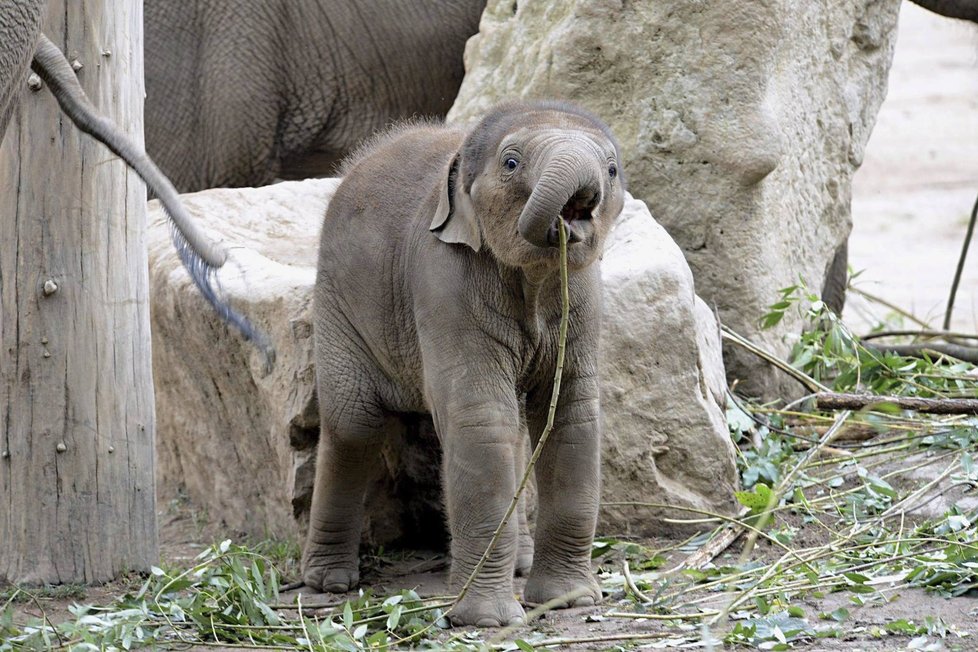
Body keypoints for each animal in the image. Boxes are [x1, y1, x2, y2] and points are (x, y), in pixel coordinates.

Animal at [304, 99, 624, 624]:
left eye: (613, 170)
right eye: (511, 163)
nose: (571, 215)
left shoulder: (583, 294)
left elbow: (571, 418)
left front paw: (568, 600)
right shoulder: (444, 280)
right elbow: (479, 420)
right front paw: (489, 619)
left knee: (517, 430)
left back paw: (521, 561)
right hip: (335, 305)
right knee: (353, 423)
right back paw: (328, 583)